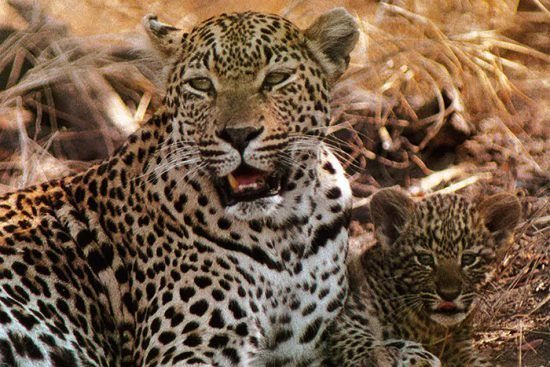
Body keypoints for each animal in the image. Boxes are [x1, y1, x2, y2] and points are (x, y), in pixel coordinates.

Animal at [0, 7, 360, 367]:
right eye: (201, 84)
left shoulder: (312, 348)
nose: (239, 134)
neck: (283, 237)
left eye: (275, 79)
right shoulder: (187, 349)